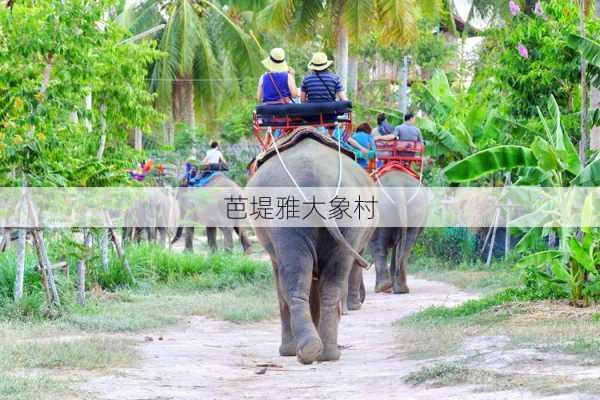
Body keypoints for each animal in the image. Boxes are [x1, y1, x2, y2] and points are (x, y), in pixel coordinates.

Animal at [246, 129, 378, 366]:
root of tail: (319, 188)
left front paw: (289, 352)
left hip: (287, 218)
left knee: (293, 279)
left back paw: (302, 352)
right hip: (348, 218)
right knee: (332, 280)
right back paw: (325, 353)